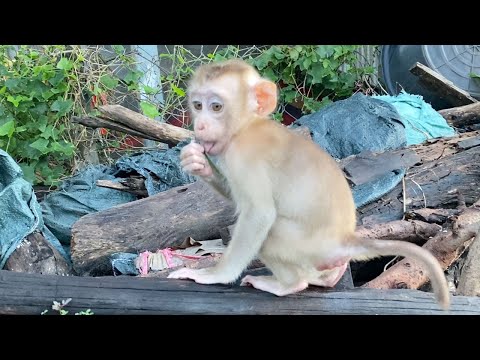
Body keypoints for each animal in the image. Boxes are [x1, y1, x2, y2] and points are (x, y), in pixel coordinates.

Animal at [168, 58, 450, 310]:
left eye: (216, 106)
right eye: (197, 105)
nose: (200, 125)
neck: (246, 126)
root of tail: (345, 238)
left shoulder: (244, 158)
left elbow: (259, 214)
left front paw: (215, 275)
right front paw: (197, 163)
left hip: (311, 246)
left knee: (270, 234)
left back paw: (290, 284)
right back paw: (327, 278)